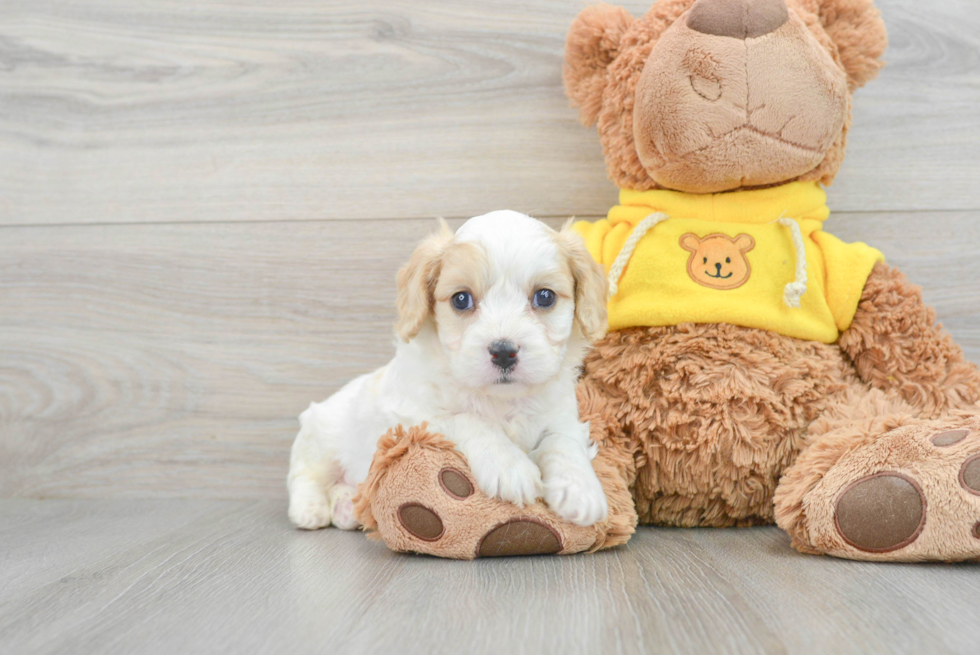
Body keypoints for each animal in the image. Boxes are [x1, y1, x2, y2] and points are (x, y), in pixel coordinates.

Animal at [286, 210, 604, 532]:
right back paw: (310, 509)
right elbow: (467, 419)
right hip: (321, 439)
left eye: (545, 297)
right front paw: (508, 465)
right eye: (461, 299)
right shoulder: (412, 419)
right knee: (304, 475)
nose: (503, 351)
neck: (500, 400)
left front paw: (580, 489)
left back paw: (347, 507)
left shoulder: (561, 413)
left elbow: (563, 440)